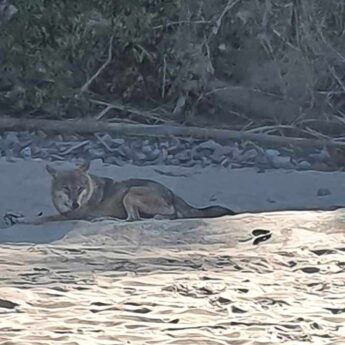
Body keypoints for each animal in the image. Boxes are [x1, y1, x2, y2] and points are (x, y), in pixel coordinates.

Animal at [7, 161, 234, 226]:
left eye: (79, 188)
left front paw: (20, 220)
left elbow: (41, 218)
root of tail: (172, 192)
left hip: (130, 193)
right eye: (66, 189)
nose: (75, 204)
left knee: (136, 219)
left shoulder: (68, 215)